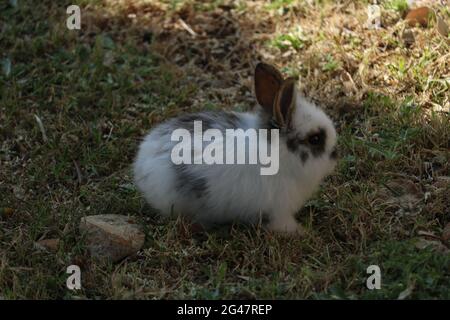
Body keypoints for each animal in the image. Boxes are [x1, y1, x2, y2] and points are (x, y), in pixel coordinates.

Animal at [134, 62, 338, 232]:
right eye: (315, 139)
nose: (335, 155)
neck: (280, 154)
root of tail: (142, 164)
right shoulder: (278, 210)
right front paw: (300, 232)